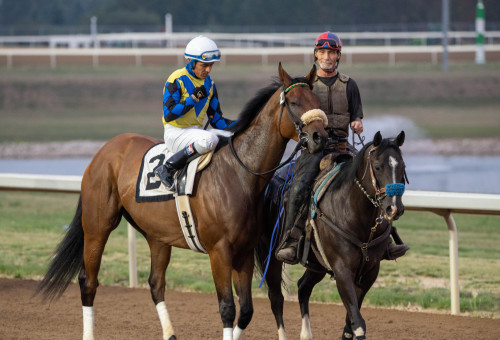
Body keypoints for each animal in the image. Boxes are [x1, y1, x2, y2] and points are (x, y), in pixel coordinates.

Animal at [35, 64, 328, 340]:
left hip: (157, 236)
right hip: (98, 226)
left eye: (317, 100)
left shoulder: (243, 252)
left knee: (156, 283)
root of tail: (105, 149)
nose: (320, 137)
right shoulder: (219, 251)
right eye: (294, 103)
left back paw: (170, 332)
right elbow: (227, 308)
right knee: (88, 281)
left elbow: (245, 310)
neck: (239, 174)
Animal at [256, 131, 408, 340]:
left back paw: (306, 334)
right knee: (276, 298)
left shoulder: (370, 271)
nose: (394, 208)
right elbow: (357, 322)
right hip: (269, 256)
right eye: (377, 166)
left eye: (402, 167)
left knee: (303, 287)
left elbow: (350, 321)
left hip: (316, 264)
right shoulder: (341, 269)